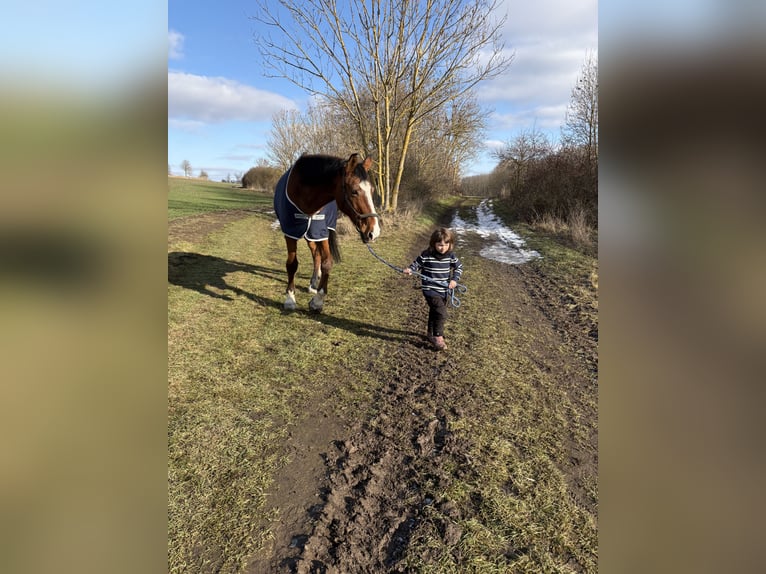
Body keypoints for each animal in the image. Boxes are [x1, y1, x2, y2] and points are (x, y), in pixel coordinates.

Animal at [273, 153, 380, 312]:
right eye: (354, 191)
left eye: (372, 191)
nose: (374, 232)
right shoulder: (290, 233)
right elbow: (292, 264)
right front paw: (290, 298)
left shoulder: (321, 232)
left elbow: (327, 263)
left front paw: (317, 301)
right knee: (314, 254)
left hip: (314, 234)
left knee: (316, 255)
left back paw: (314, 282)